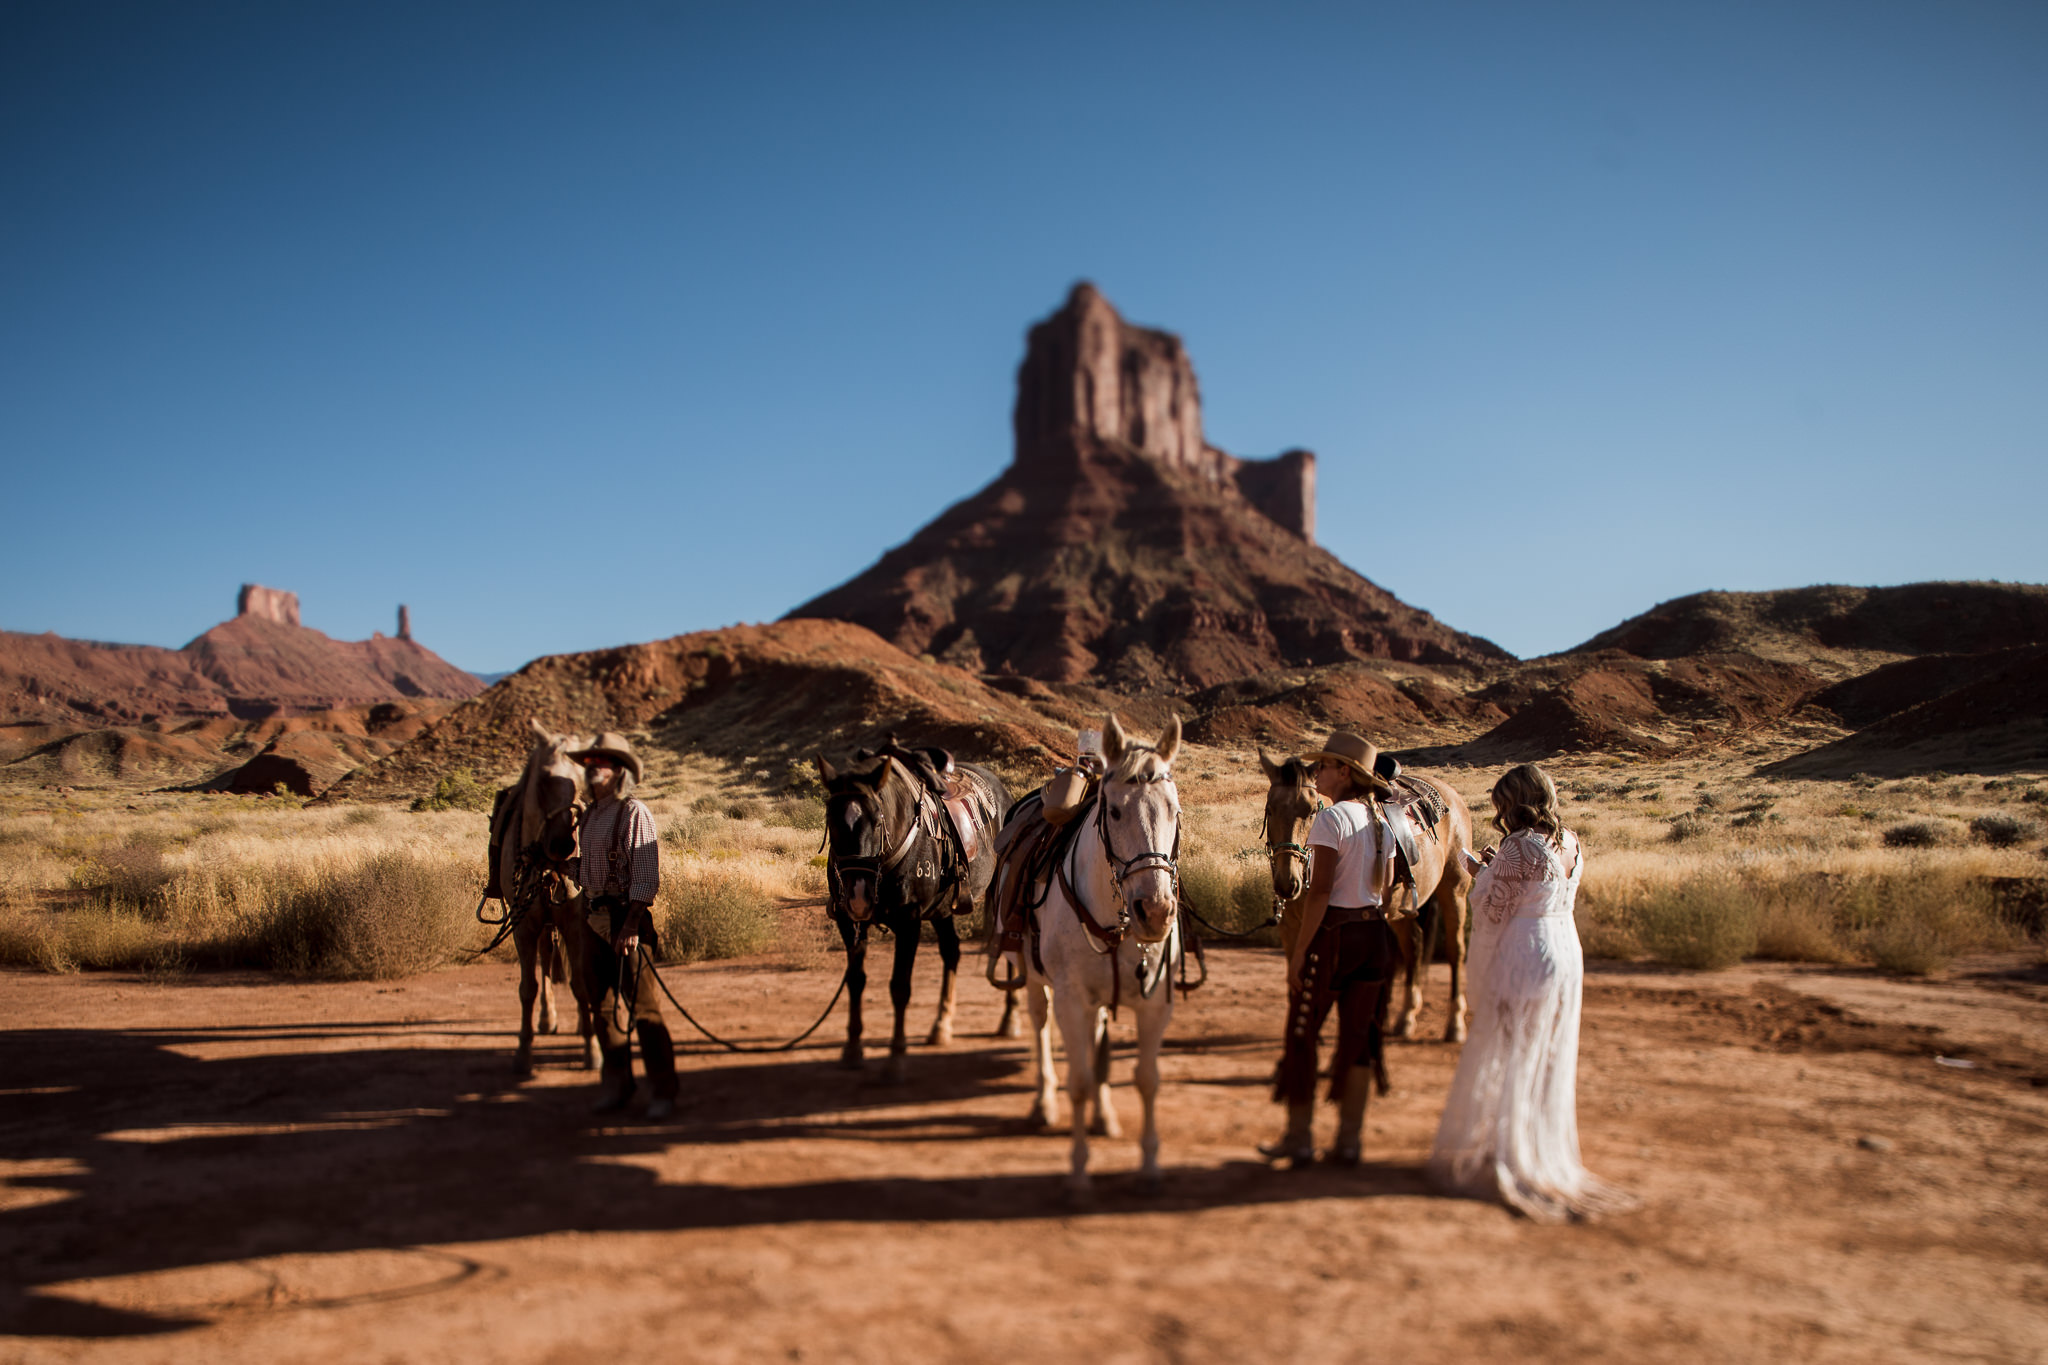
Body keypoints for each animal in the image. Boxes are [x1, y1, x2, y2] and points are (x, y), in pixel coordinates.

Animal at [493, 720, 598, 1072]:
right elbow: (529, 988)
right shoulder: (524, 925)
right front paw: (524, 1051)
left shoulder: (575, 922)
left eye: (584, 782)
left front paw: (593, 1049)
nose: (563, 845)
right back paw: (546, 1019)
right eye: (543, 779)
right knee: (544, 961)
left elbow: (581, 985)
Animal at [811, 740, 1011, 1080]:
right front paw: (852, 1049)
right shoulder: (849, 922)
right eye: (830, 819)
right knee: (951, 951)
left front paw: (896, 1058)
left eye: (877, 820)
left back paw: (1010, 1021)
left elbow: (900, 987)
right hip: (942, 911)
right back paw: (941, 1026)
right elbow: (855, 980)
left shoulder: (909, 921)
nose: (859, 893)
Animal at [1011, 716, 1187, 1195]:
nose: (1155, 912)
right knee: (1039, 1024)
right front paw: (1077, 1171)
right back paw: (1042, 1103)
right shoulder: (1072, 1001)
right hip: (1034, 979)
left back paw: (1104, 1115)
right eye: (1115, 811)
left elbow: (1146, 1080)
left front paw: (1150, 1164)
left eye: (1174, 811)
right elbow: (1079, 1081)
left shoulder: (1154, 1004)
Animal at [1253, 749, 1482, 1047]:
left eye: (1312, 810)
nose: (1287, 882)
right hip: (1399, 912)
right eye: (1270, 809)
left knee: (1456, 950)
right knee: (1414, 945)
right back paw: (1406, 1019)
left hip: (1454, 890)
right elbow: (1296, 981)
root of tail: (1453, 797)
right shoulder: (1292, 930)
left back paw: (1454, 1024)